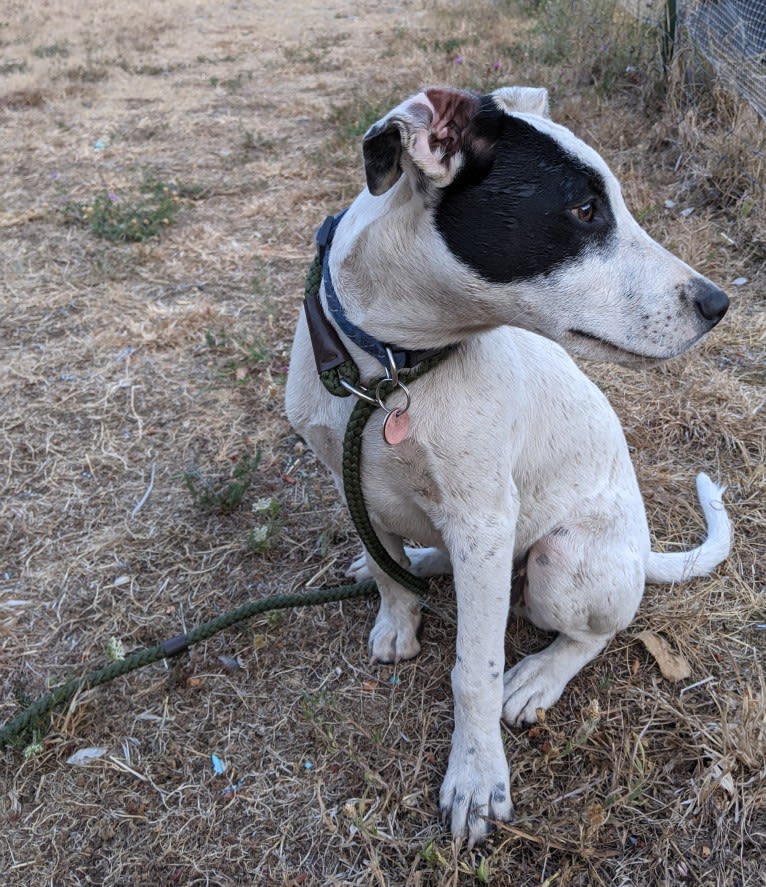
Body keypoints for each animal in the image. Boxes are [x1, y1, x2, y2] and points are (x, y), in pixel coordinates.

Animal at [284, 85, 736, 848]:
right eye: (584, 211)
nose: (717, 303)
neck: (390, 370)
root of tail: (644, 552)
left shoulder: (484, 520)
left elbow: (475, 669)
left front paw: (474, 776)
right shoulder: (348, 483)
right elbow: (385, 566)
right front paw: (397, 613)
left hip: (560, 561)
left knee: (596, 630)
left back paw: (540, 676)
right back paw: (420, 562)